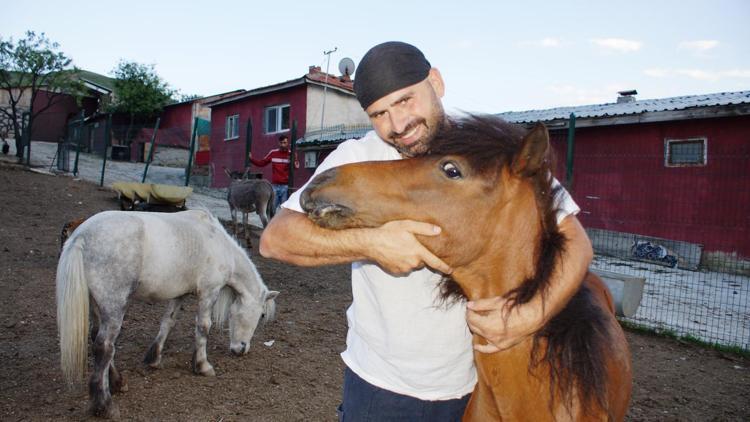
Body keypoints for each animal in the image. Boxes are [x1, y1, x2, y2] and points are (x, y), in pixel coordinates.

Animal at [55, 209, 280, 418]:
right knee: (104, 347)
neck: (218, 243)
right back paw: (104, 404)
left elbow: (167, 323)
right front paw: (203, 366)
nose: (242, 349)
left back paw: (118, 382)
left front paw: (154, 359)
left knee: (97, 339)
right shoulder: (209, 292)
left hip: (96, 306)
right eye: (261, 315)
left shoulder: (179, 295)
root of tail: (80, 236)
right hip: (114, 306)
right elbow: (203, 328)